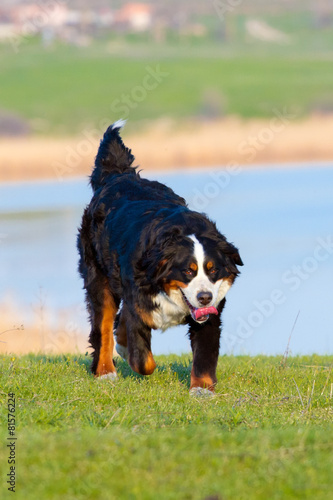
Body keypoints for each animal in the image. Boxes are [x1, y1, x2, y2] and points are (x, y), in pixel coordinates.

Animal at [77, 120, 243, 394]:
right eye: (188, 271)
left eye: (213, 270)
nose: (204, 297)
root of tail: (120, 175)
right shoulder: (138, 300)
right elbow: (144, 361)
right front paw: (130, 354)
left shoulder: (209, 315)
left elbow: (204, 355)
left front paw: (202, 389)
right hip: (98, 277)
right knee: (104, 324)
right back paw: (105, 371)